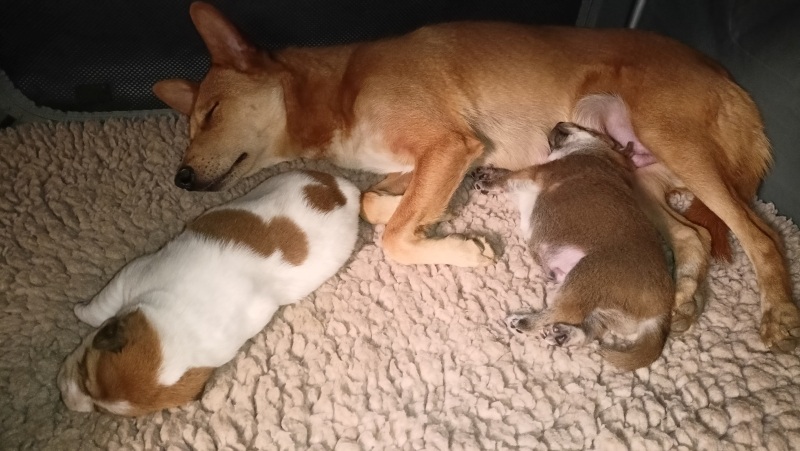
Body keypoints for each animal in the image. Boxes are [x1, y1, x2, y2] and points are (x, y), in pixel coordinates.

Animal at [57, 170, 360, 416]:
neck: (180, 323)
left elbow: (98, 309)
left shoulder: (131, 276)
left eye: (86, 379)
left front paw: (78, 310)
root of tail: (348, 192)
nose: (65, 399)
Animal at [475, 122, 674, 371]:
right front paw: (488, 171)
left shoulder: (534, 172)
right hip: (602, 308)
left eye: (588, 129)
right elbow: (505, 173)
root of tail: (662, 311)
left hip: (586, 276)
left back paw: (524, 321)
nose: (559, 122)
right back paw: (566, 335)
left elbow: (509, 176)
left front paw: (488, 181)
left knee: (563, 312)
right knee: (590, 328)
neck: (596, 153)